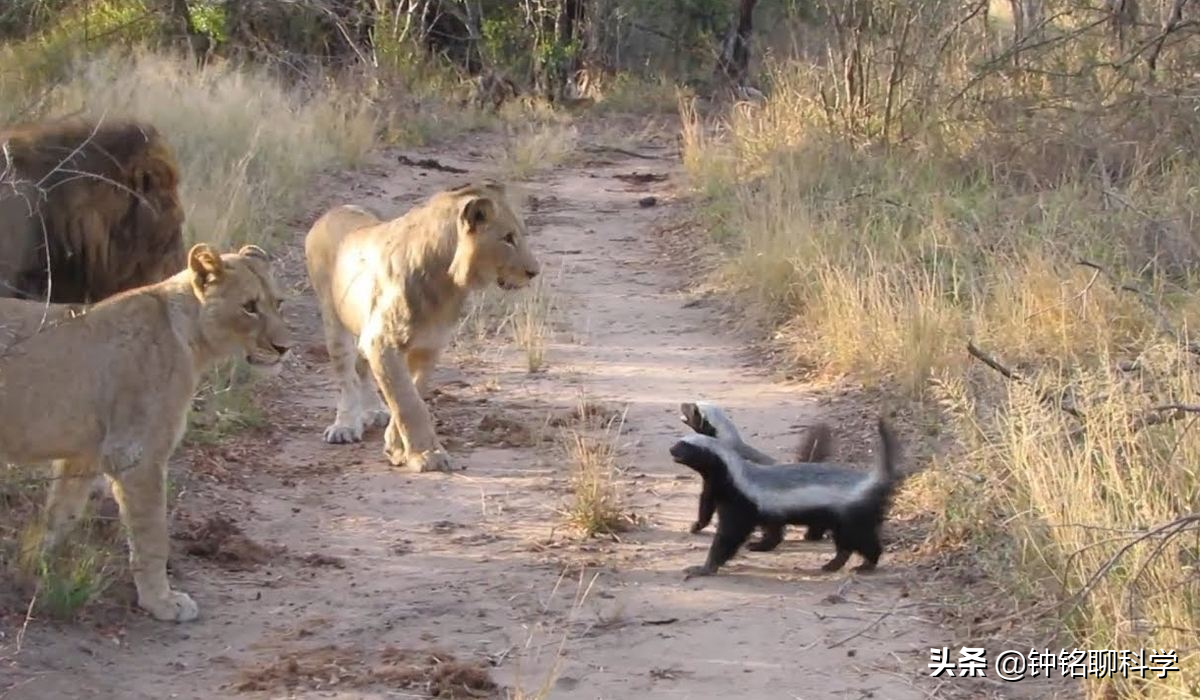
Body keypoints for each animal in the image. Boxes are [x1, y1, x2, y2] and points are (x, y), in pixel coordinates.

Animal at [0, 243, 290, 619]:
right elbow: (152, 536)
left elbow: (61, 514)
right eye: (249, 307)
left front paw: (34, 568)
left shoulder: (86, 454)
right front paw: (162, 602)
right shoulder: (136, 454)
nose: (284, 348)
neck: (191, 337)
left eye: (278, 303)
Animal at [304, 182, 540, 475]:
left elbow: (413, 394)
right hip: (333, 318)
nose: (534, 272)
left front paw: (396, 447)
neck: (447, 283)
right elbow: (408, 403)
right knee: (346, 376)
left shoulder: (429, 345)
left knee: (361, 368)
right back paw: (345, 426)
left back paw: (374, 411)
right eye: (507, 238)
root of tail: (332, 211)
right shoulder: (382, 342)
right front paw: (428, 455)